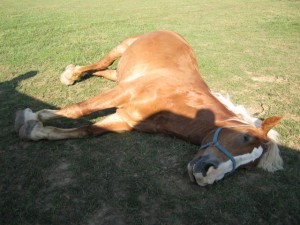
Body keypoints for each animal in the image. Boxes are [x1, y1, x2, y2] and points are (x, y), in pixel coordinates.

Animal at [14, 29, 284, 186]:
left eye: (247, 166)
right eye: (245, 137)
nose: (206, 176)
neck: (177, 100)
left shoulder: (123, 120)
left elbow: (85, 130)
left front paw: (35, 130)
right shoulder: (124, 93)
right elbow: (78, 110)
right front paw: (32, 115)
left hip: (120, 73)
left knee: (107, 71)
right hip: (122, 47)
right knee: (103, 62)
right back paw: (71, 75)